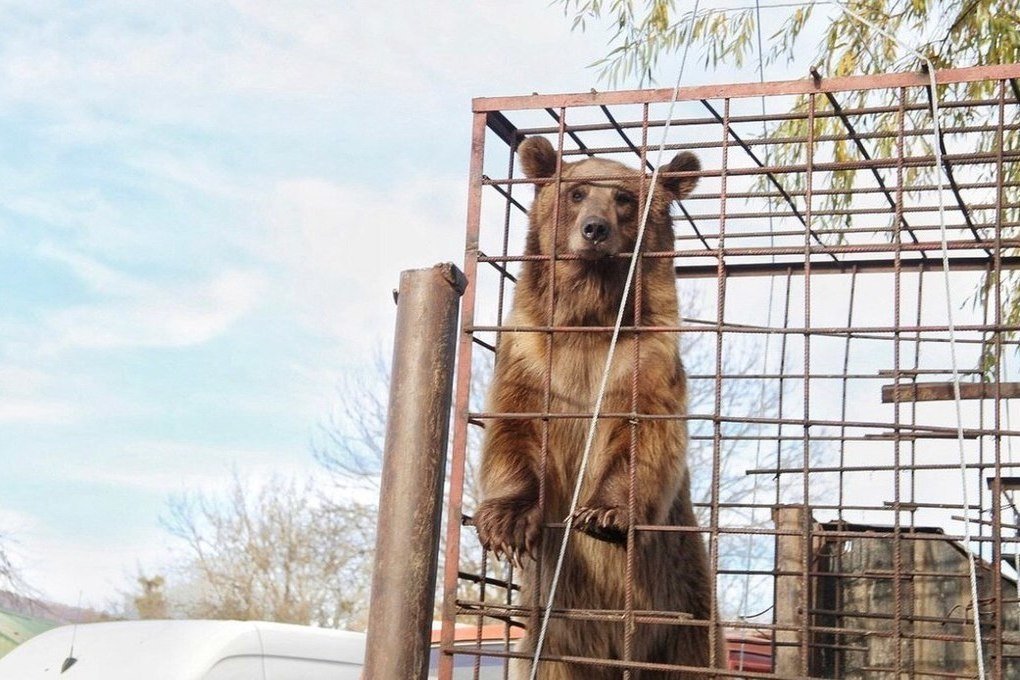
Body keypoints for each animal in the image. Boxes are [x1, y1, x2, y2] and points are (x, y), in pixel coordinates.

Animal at [475, 136, 722, 680]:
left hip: (687, 622)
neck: (590, 321)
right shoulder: (531, 358)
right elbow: (515, 432)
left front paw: (604, 513)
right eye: (577, 192)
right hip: (551, 647)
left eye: (624, 199)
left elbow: (644, 438)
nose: (595, 229)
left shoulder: (643, 361)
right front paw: (505, 525)